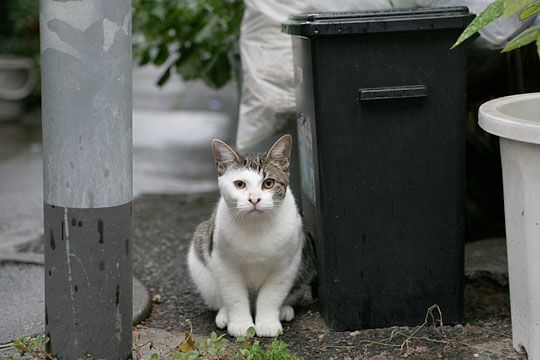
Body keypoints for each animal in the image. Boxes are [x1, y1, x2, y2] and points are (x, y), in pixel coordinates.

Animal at [189, 134, 316, 338]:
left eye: (268, 183)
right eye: (239, 184)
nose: (254, 199)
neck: (256, 226)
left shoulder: (286, 265)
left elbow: (271, 295)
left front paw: (267, 322)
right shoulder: (226, 265)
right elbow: (234, 296)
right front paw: (241, 324)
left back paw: (284, 309)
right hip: (200, 255)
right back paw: (224, 314)